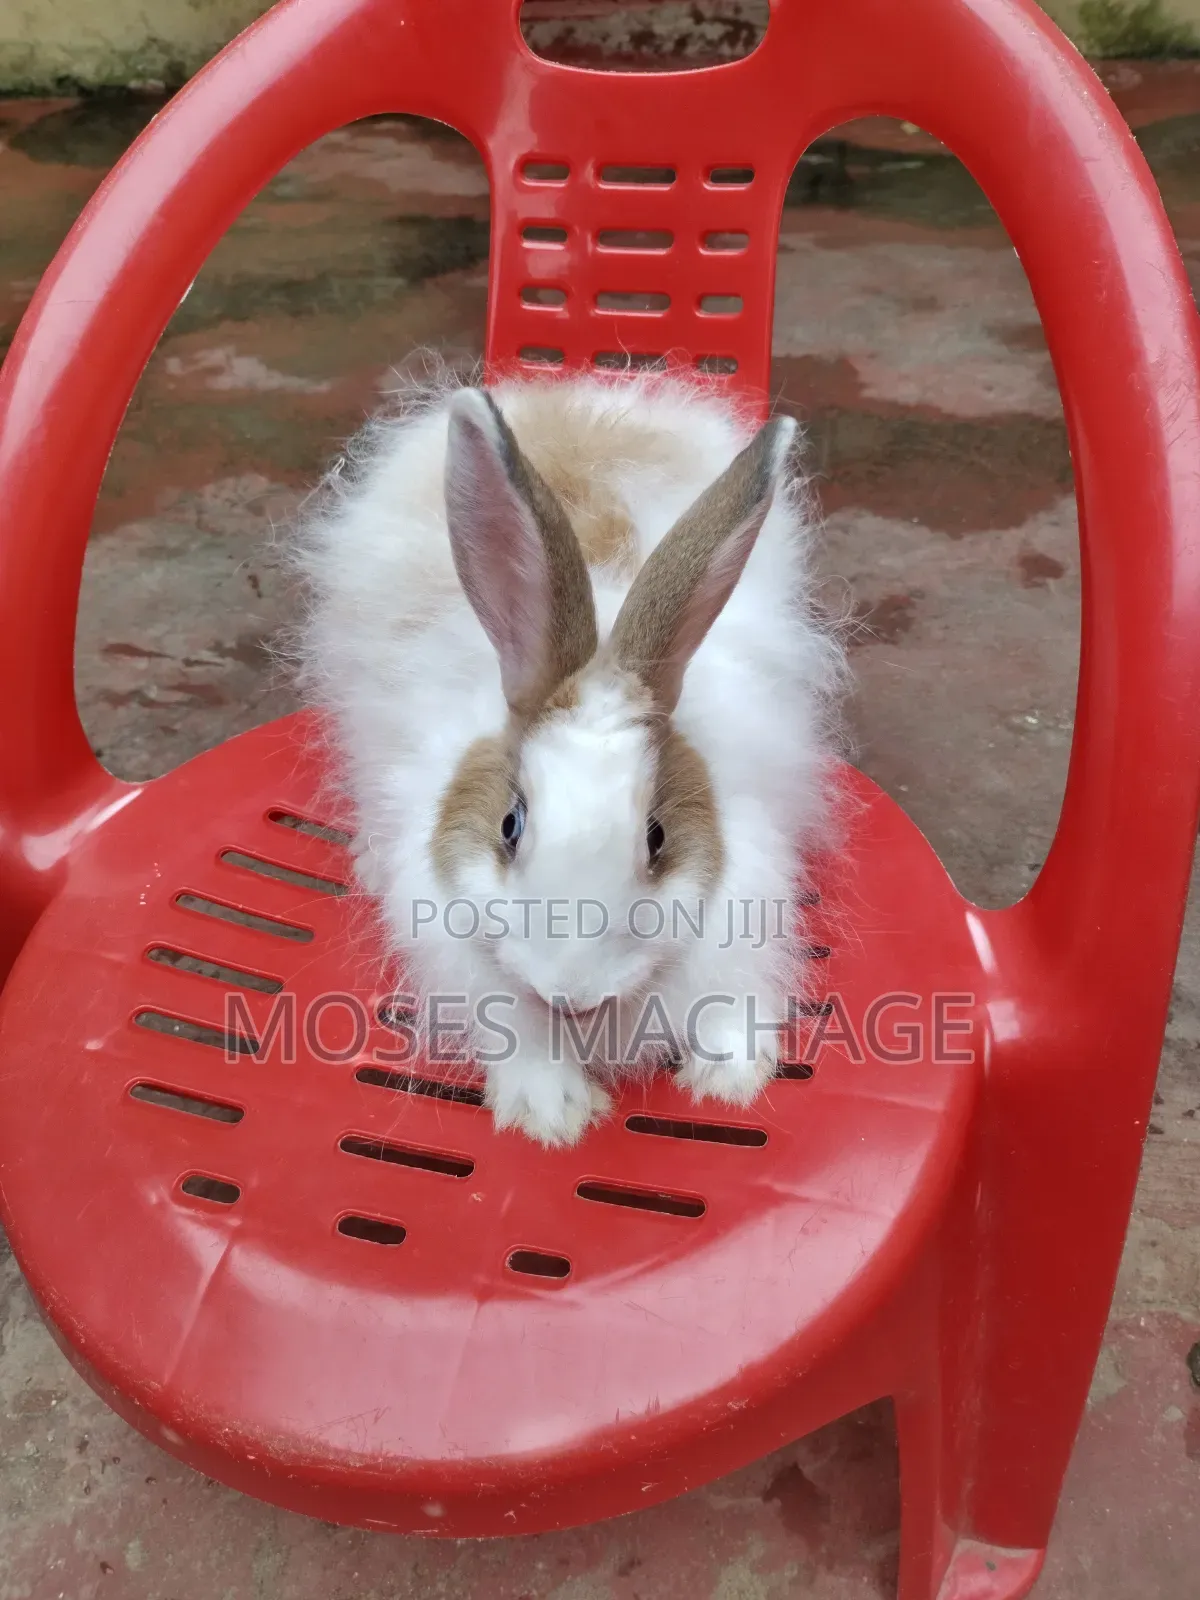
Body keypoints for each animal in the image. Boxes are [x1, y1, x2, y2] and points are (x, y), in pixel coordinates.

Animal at [294, 372, 845, 1146]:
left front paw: (730, 1078)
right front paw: (553, 1114)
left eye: (657, 837)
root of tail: (570, 396)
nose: (571, 995)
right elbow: (521, 1042)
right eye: (510, 826)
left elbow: (733, 1003)